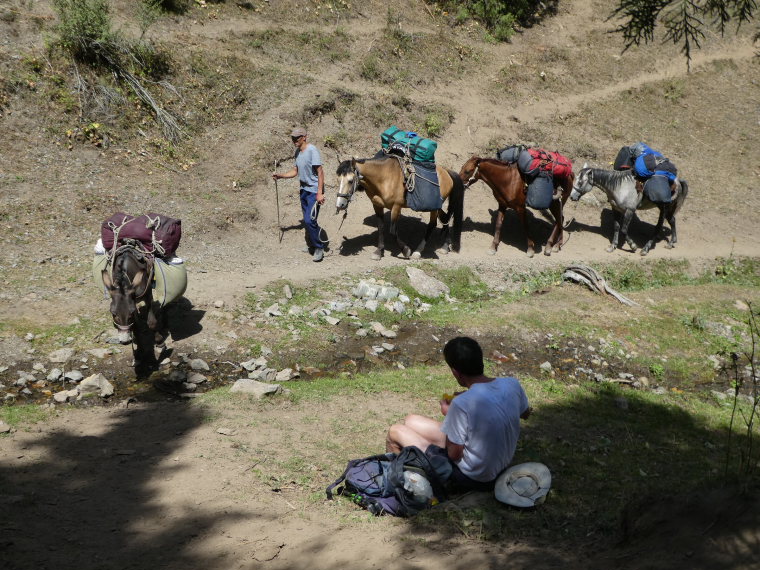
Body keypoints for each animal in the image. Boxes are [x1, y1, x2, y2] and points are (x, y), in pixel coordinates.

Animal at [336, 153, 466, 260]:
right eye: (338, 179)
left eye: (350, 180)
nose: (340, 204)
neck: (383, 178)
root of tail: (447, 172)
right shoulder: (377, 205)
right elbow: (381, 228)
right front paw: (379, 251)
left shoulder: (396, 207)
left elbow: (393, 231)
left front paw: (406, 251)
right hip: (437, 206)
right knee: (445, 218)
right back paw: (445, 247)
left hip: (433, 208)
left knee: (432, 224)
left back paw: (418, 251)